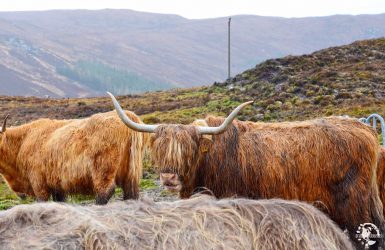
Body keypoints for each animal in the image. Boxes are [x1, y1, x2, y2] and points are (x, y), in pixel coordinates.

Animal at [0, 110, 146, 204]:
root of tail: (127, 114)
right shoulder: (58, 188)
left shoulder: (39, 184)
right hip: (131, 174)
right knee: (131, 194)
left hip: (102, 170)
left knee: (104, 192)